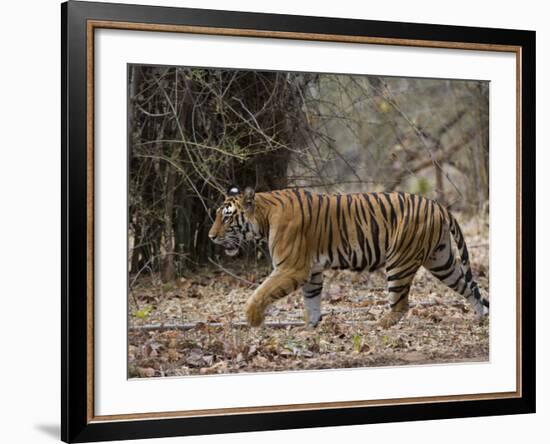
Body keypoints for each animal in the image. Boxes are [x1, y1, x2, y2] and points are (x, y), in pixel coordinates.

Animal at [208, 186, 492, 328]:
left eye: (227, 217)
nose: (211, 237)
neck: (264, 217)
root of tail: (438, 205)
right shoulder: (312, 271)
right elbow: (312, 301)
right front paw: (309, 328)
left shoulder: (292, 268)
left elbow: (261, 292)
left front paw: (253, 320)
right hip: (441, 260)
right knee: (469, 287)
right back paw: (480, 318)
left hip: (400, 261)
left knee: (401, 304)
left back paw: (379, 324)